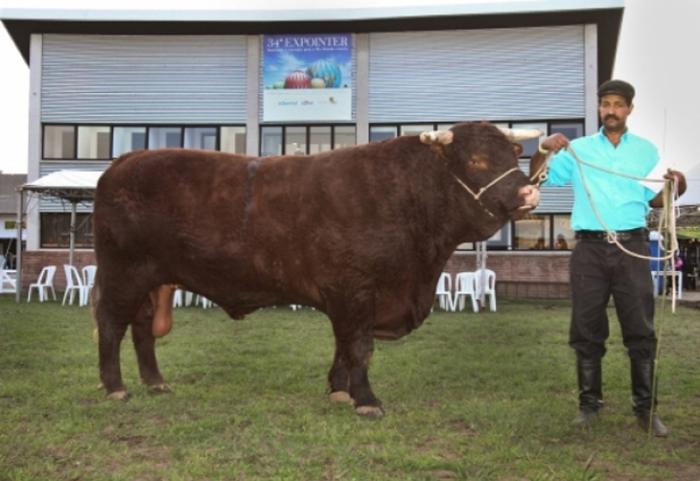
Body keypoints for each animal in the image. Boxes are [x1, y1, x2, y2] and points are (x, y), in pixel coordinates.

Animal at [93, 121, 540, 416]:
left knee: (141, 326)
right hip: (123, 273)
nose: (528, 191)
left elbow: (344, 344)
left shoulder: (350, 296)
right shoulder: (355, 289)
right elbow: (359, 345)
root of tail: (125, 161)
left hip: (151, 278)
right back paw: (115, 388)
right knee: (112, 324)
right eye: (477, 159)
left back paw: (155, 382)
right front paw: (366, 401)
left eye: (512, 155)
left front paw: (339, 391)